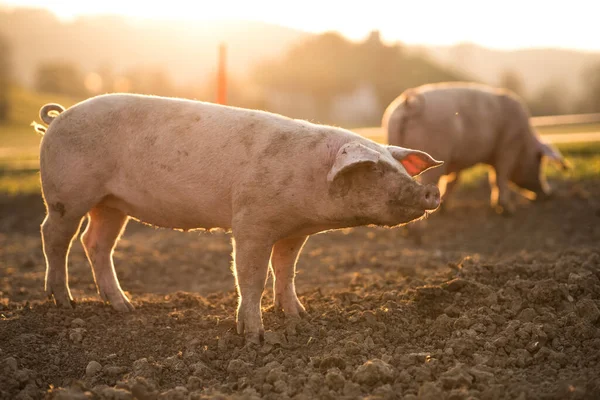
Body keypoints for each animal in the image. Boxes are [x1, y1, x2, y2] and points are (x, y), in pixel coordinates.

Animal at [32, 94, 446, 344]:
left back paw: (125, 306)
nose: (430, 191)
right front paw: (255, 338)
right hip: (67, 193)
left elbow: (286, 270)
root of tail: (58, 117)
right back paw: (64, 303)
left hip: (111, 204)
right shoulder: (251, 221)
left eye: (397, 165)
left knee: (95, 243)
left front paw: (298, 317)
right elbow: (251, 276)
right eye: (374, 168)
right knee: (53, 235)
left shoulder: (294, 232)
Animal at [382, 81, 568, 216]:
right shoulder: (507, 149)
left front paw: (445, 208)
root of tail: (411, 103)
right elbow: (500, 178)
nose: (549, 194)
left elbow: (455, 181)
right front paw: (507, 210)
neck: (524, 142)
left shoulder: (457, 161)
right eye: (540, 161)